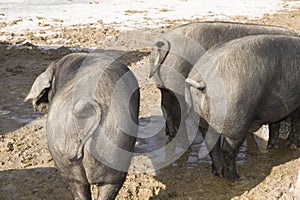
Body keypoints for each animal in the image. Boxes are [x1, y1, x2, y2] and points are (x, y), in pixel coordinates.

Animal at [185, 34, 300, 181]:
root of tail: (203, 81)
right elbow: (296, 123)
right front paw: (294, 147)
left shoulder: (277, 107)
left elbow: (275, 124)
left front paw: (273, 147)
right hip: (236, 121)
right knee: (227, 150)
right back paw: (236, 178)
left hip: (202, 121)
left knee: (212, 145)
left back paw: (218, 173)